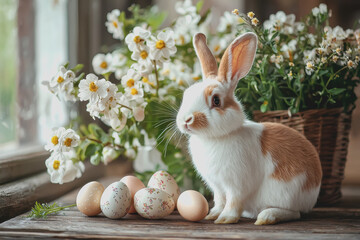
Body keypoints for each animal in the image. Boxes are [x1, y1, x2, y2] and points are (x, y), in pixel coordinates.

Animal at [176, 32, 322, 226]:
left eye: (216, 100)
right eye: (186, 95)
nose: (186, 120)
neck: (216, 137)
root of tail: (314, 191)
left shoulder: (237, 184)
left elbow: (233, 201)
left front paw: (225, 219)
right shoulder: (217, 186)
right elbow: (219, 200)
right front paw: (212, 214)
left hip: (286, 193)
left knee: (294, 213)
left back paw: (267, 217)